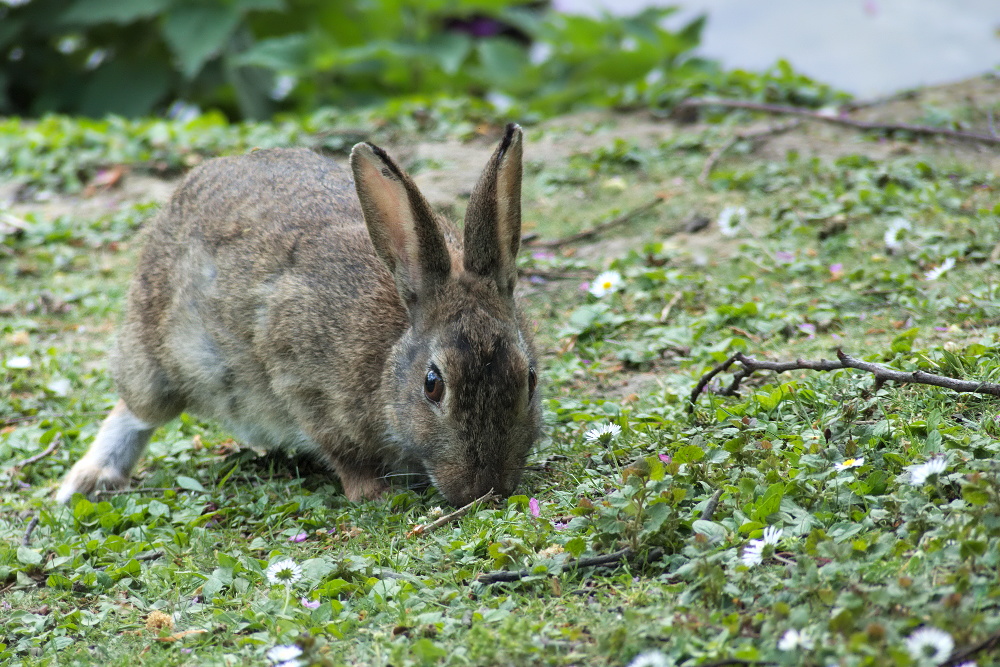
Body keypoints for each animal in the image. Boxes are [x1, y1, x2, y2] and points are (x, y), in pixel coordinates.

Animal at [56, 123, 541, 507]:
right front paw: (373, 493)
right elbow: (343, 454)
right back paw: (87, 482)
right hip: (158, 352)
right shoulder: (302, 380)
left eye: (530, 379)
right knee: (137, 407)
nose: (485, 490)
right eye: (432, 385)